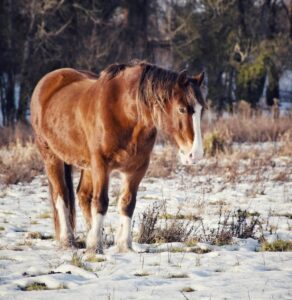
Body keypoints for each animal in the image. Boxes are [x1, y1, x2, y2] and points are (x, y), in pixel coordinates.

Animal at [30, 59, 206, 252]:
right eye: (181, 109)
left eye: (202, 110)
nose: (195, 154)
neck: (123, 112)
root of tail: (49, 80)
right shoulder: (101, 165)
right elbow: (101, 202)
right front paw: (95, 246)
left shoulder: (136, 168)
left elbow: (128, 203)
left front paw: (124, 246)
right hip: (52, 157)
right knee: (61, 196)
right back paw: (67, 239)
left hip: (87, 165)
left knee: (83, 196)